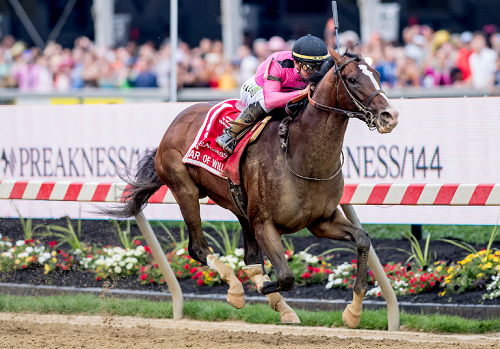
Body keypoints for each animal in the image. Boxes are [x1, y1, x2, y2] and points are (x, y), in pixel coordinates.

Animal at [108, 47, 398, 328]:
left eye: (377, 75)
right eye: (352, 79)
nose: (390, 116)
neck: (300, 156)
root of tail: (177, 121)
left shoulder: (321, 221)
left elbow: (362, 239)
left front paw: (353, 312)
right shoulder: (264, 224)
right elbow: (285, 276)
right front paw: (258, 289)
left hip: (240, 206)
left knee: (250, 258)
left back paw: (279, 306)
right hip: (185, 189)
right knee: (198, 247)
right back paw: (236, 289)